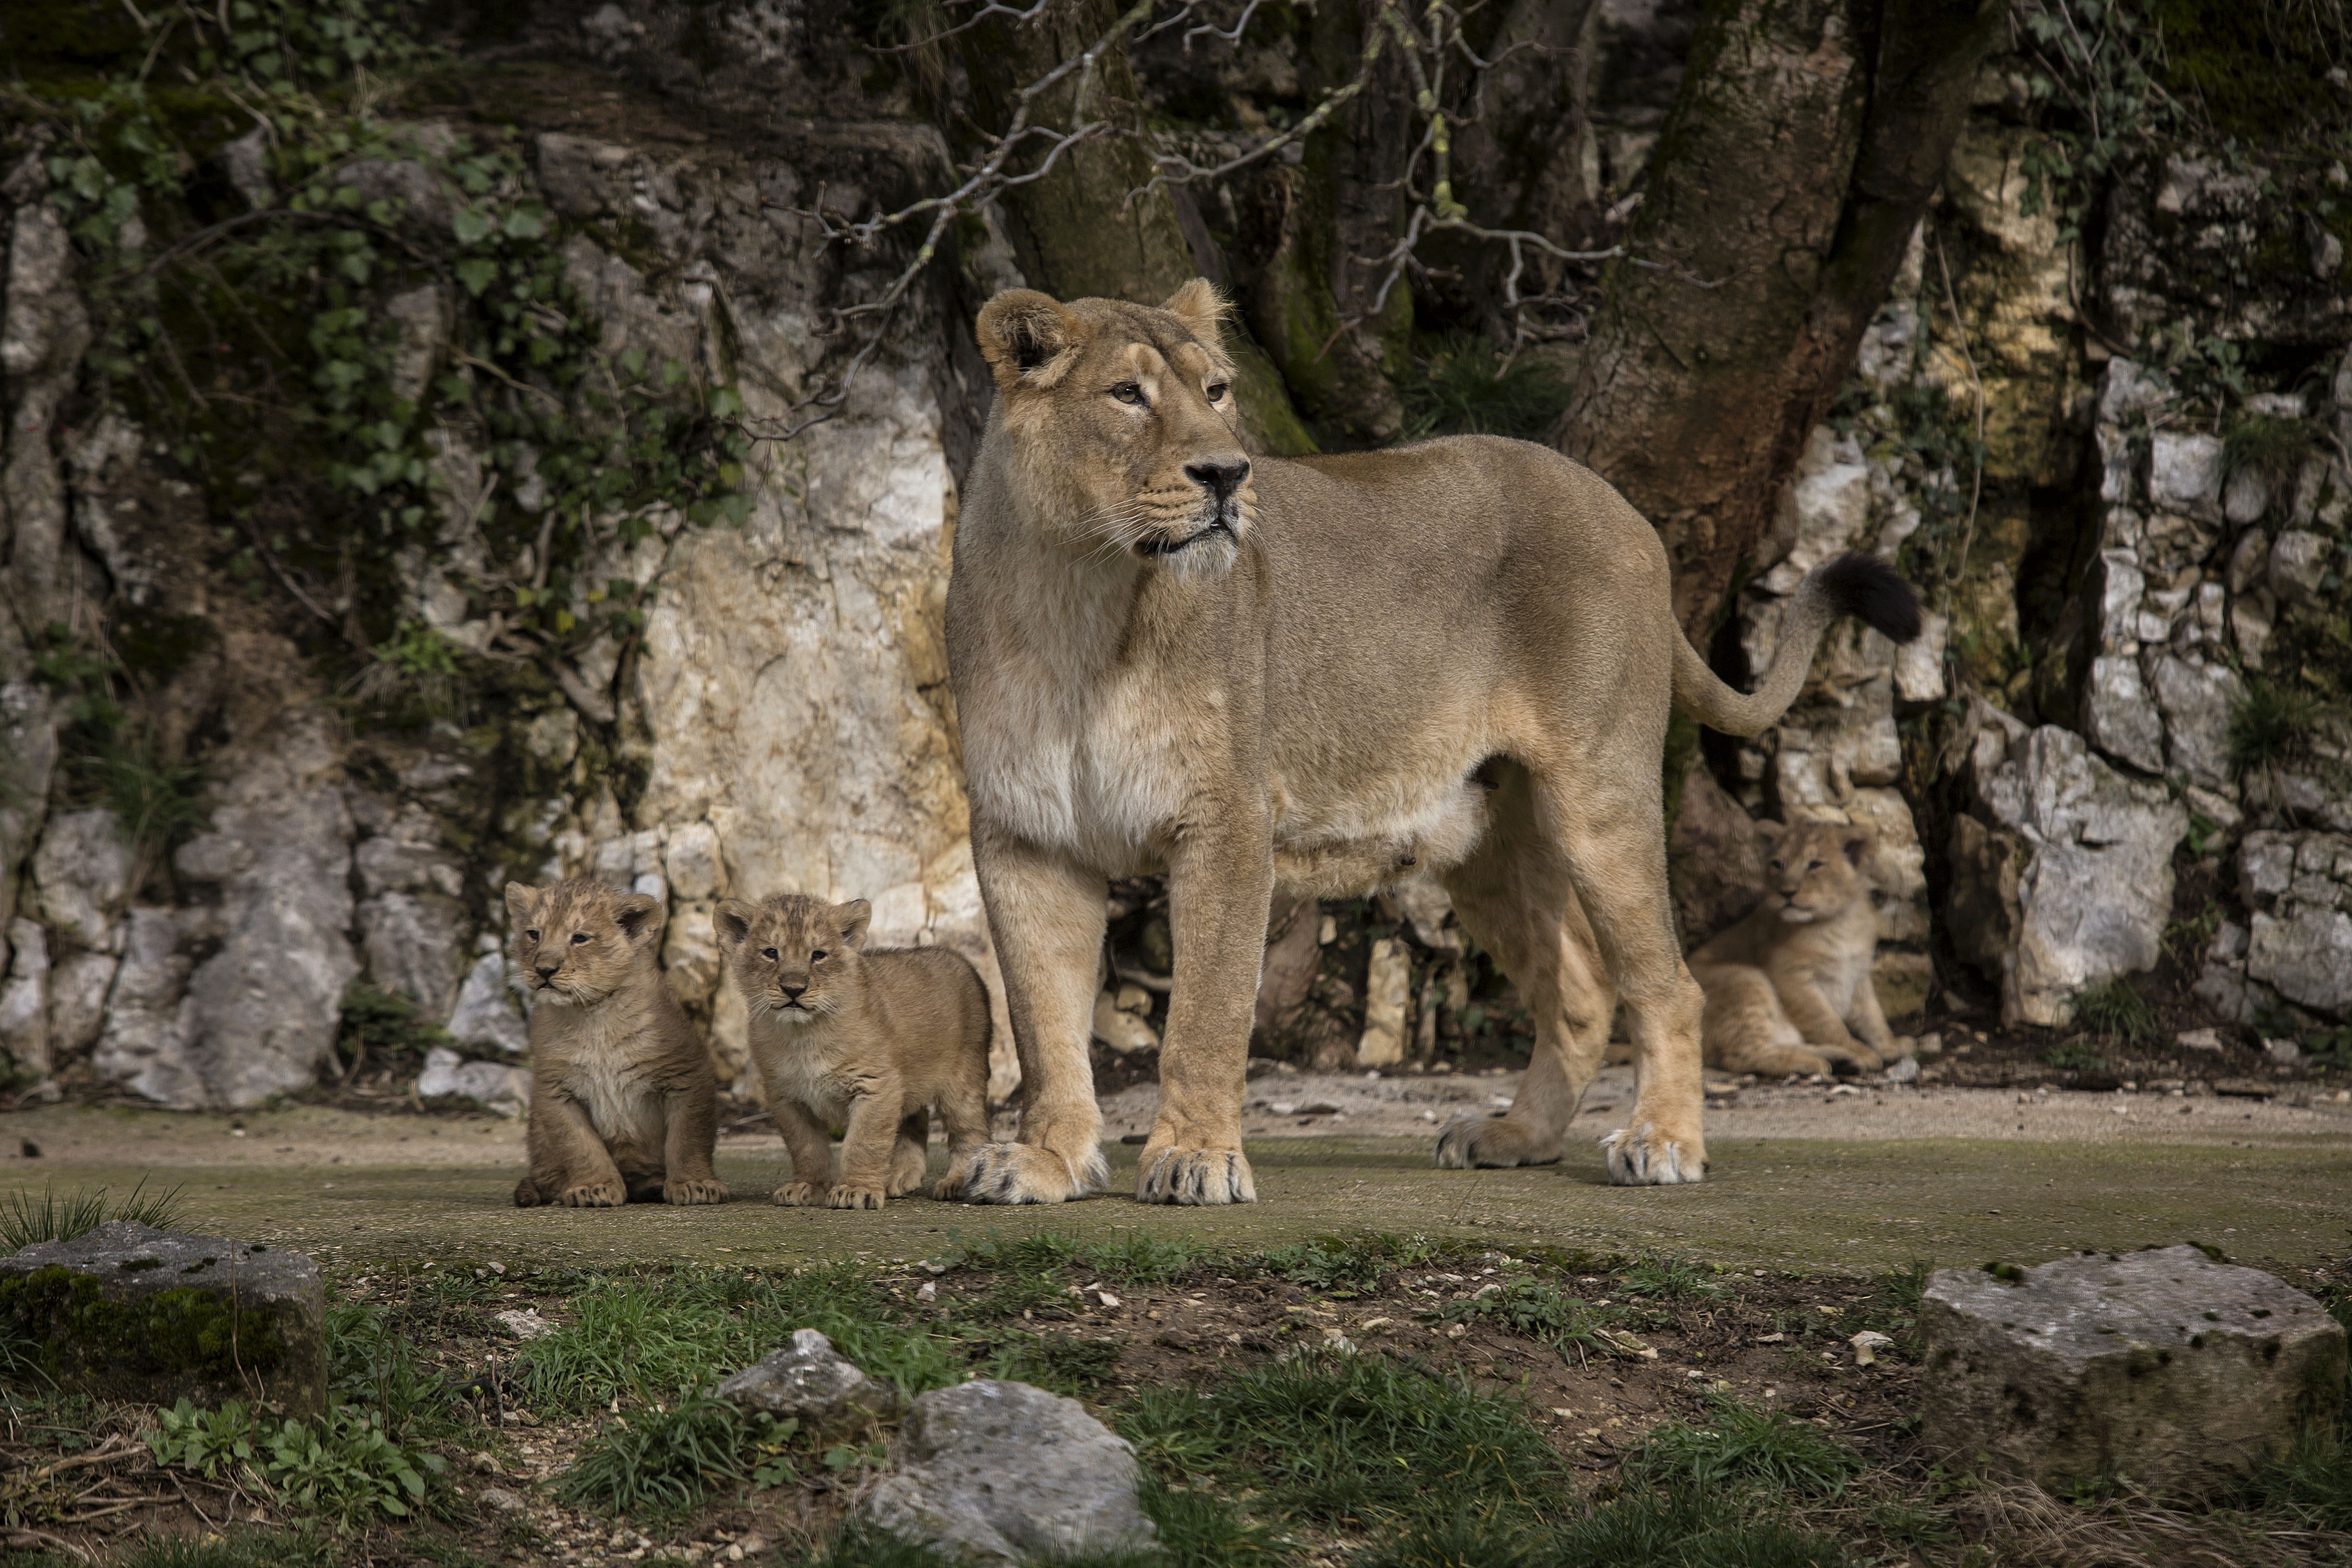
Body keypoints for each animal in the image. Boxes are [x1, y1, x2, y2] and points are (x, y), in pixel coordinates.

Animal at [507, 878, 728, 1208]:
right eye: (533, 934)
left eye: (580, 938)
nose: (544, 969)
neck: (593, 1014)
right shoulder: (554, 1089)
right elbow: (579, 1145)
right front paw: (594, 1187)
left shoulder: (687, 1074)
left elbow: (688, 1138)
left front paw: (694, 1184)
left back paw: (654, 1185)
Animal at [714, 893, 993, 1210]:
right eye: (771, 953)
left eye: (819, 955)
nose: (793, 989)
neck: (803, 1035)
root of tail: (959, 958)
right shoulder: (785, 1096)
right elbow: (806, 1147)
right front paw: (808, 1187)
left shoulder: (876, 1085)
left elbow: (864, 1142)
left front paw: (856, 1190)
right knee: (916, 1119)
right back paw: (898, 1176)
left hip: (963, 1079)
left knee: (970, 1131)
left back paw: (957, 1181)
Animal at [1688, 820, 1900, 1079]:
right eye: (1778, 864)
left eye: (1815, 864)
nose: (1786, 892)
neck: (1838, 923)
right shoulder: (1790, 976)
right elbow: (1826, 1022)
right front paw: (1861, 1051)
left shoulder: (1858, 973)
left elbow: (1873, 1016)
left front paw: (1890, 1047)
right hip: (1744, 978)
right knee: (1743, 1055)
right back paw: (1816, 1062)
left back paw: (1840, 1059)